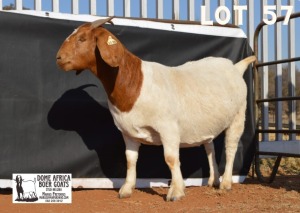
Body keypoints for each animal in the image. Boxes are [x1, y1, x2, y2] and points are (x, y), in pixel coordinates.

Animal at [55, 17, 255, 201]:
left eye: (82, 38)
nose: (58, 58)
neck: (135, 82)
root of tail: (235, 67)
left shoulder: (169, 128)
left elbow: (171, 158)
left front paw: (176, 192)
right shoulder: (127, 132)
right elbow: (130, 160)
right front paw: (126, 189)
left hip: (238, 116)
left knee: (231, 147)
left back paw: (226, 183)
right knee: (210, 147)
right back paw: (213, 180)